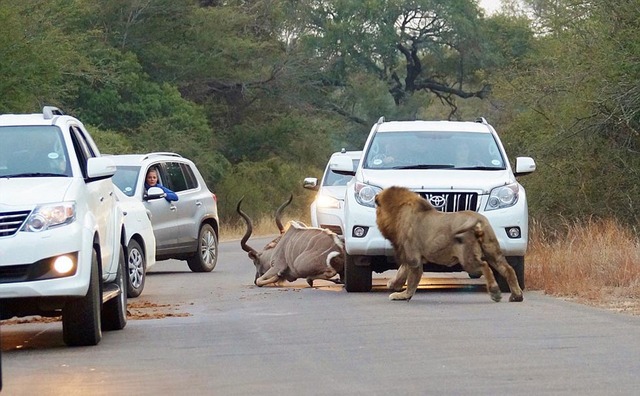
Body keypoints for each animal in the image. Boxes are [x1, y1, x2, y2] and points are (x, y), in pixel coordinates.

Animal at [378, 186, 524, 304]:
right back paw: (516, 296)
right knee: (508, 269)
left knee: (485, 266)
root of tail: (476, 218)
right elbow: (402, 270)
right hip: (492, 251)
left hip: (468, 257)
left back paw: (495, 293)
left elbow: (411, 281)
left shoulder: (413, 257)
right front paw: (393, 284)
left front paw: (402, 295)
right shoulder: (412, 256)